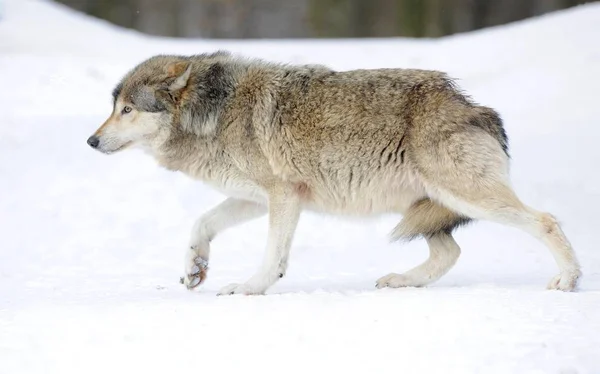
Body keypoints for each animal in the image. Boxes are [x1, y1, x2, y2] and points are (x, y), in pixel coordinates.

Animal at [85, 50, 580, 296]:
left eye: (127, 109)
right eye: (113, 107)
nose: (90, 141)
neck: (214, 111)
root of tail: (474, 106)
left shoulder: (283, 196)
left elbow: (271, 255)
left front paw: (249, 288)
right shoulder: (257, 197)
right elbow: (201, 223)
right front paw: (196, 269)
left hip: (464, 196)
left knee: (546, 221)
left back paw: (568, 280)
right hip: (426, 206)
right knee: (450, 253)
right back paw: (401, 282)